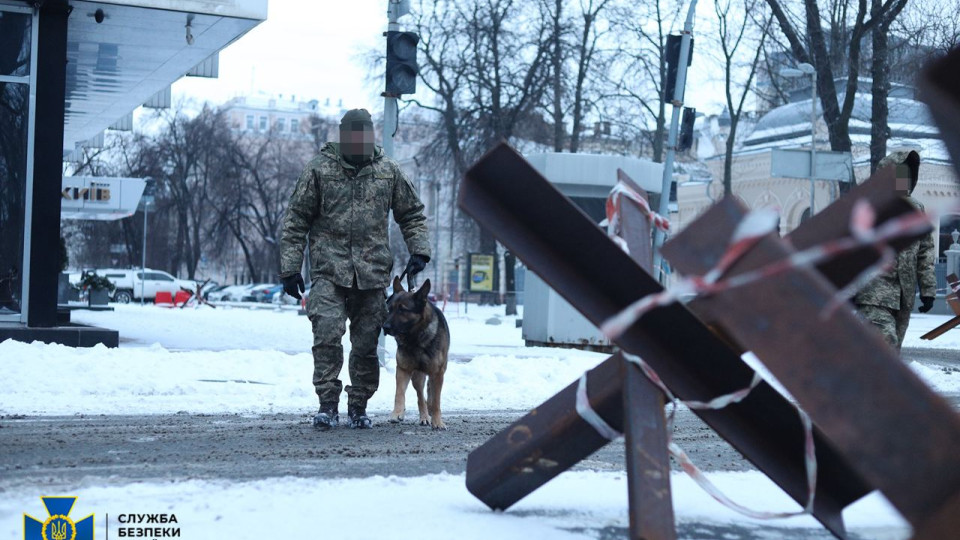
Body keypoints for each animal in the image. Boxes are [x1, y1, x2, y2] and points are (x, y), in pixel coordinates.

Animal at [382, 276, 450, 428]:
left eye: (402, 310)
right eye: (389, 309)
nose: (385, 327)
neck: (415, 338)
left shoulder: (438, 373)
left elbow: (436, 401)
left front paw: (438, 421)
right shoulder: (403, 369)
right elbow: (399, 393)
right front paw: (397, 413)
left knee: (429, 395)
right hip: (417, 377)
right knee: (420, 396)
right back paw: (423, 416)